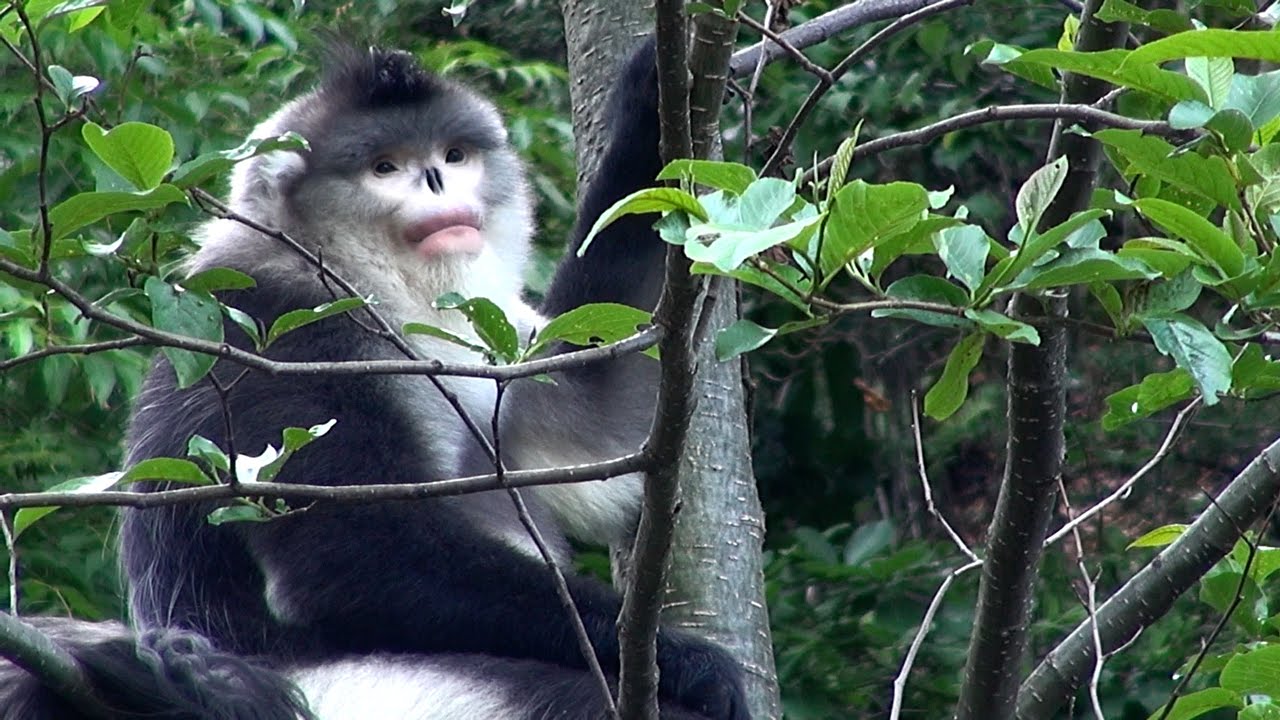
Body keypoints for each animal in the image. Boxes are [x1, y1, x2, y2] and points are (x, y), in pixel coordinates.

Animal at [0, 41, 749, 720]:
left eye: (453, 155)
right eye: (386, 167)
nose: (437, 182)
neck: (368, 286)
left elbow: (605, 424)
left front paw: (657, 95)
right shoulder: (271, 331)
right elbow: (351, 558)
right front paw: (692, 662)